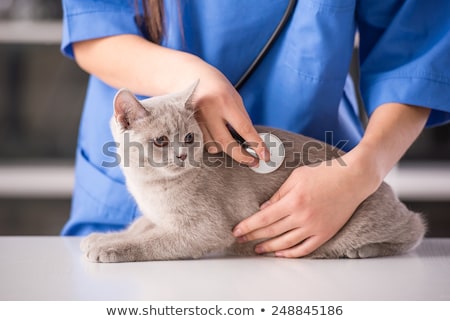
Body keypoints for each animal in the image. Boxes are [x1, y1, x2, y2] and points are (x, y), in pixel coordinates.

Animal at [80, 81, 426, 262]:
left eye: (189, 138)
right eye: (162, 141)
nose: (181, 153)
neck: (149, 187)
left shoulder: (204, 229)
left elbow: (150, 242)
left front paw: (108, 248)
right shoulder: (155, 216)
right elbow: (139, 227)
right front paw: (100, 237)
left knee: (415, 228)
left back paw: (360, 251)